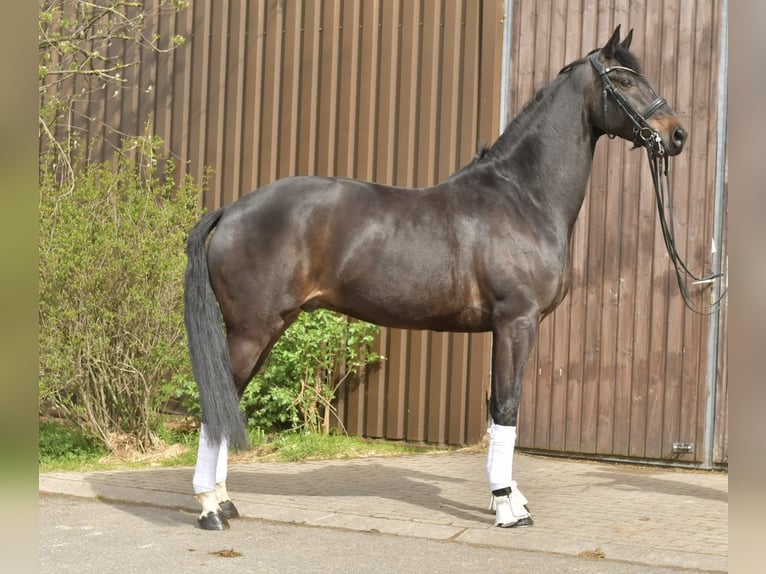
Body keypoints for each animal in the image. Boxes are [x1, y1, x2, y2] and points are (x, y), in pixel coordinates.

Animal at [184, 25, 687, 530]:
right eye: (623, 81)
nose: (677, 134)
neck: (522, 197)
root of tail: (232, 209)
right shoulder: (517, 323)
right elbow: (507, 408)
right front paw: (507, 506)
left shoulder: (504, 329)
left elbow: (497, 409)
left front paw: (508, 497)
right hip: (251, 331)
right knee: (216, 407)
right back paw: (209, 508)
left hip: (264, 330)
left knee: (226, 402)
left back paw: (224, 502)